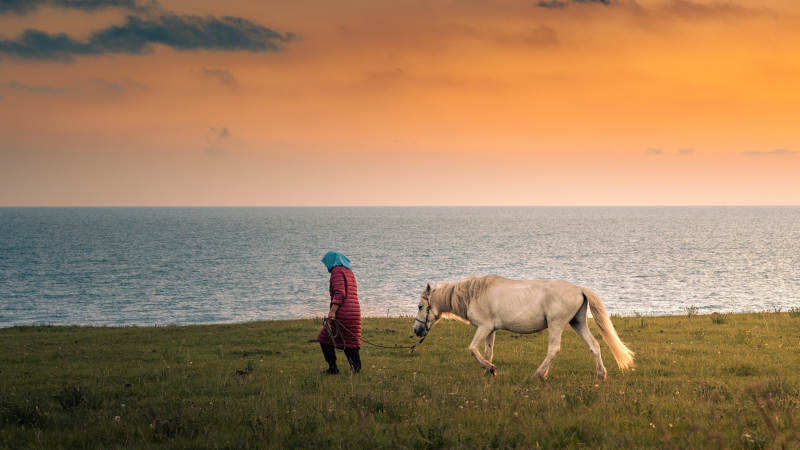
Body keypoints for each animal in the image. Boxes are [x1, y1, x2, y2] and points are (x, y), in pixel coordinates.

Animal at [412, 275, 634, 380]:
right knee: (594, 346)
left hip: (557, 325)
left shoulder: (483, 328)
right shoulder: (490, 331)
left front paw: (490, 368)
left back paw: (538, 374)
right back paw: (601, 375)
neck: (473, 294)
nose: (416, 331)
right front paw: (488, 372)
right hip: (577, 323)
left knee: (554, 349)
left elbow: (473, 349)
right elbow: (488, 351)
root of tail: (579, 289)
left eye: (420, 306)